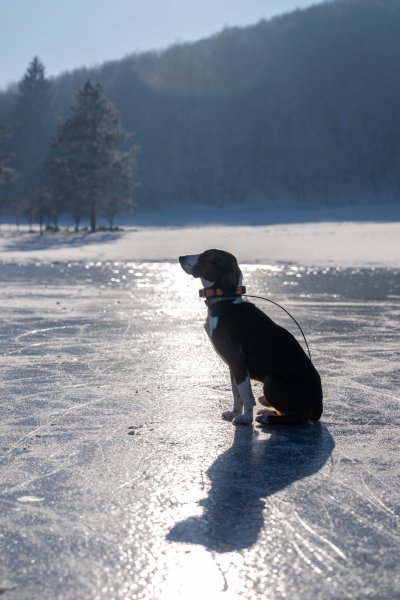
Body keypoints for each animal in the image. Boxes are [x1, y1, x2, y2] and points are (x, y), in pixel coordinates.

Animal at [180, 248, 324, 426]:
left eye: (205, 256)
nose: (180, 258)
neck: (225, 301)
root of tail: (319, 407)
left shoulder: (238, 361)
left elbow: (246, 395)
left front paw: (246, 418)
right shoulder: (233, 366)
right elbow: (237, 394)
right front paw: (234, 413)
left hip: (270, 382)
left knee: (300, 417)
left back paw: (268, 418)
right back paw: (270, 412)